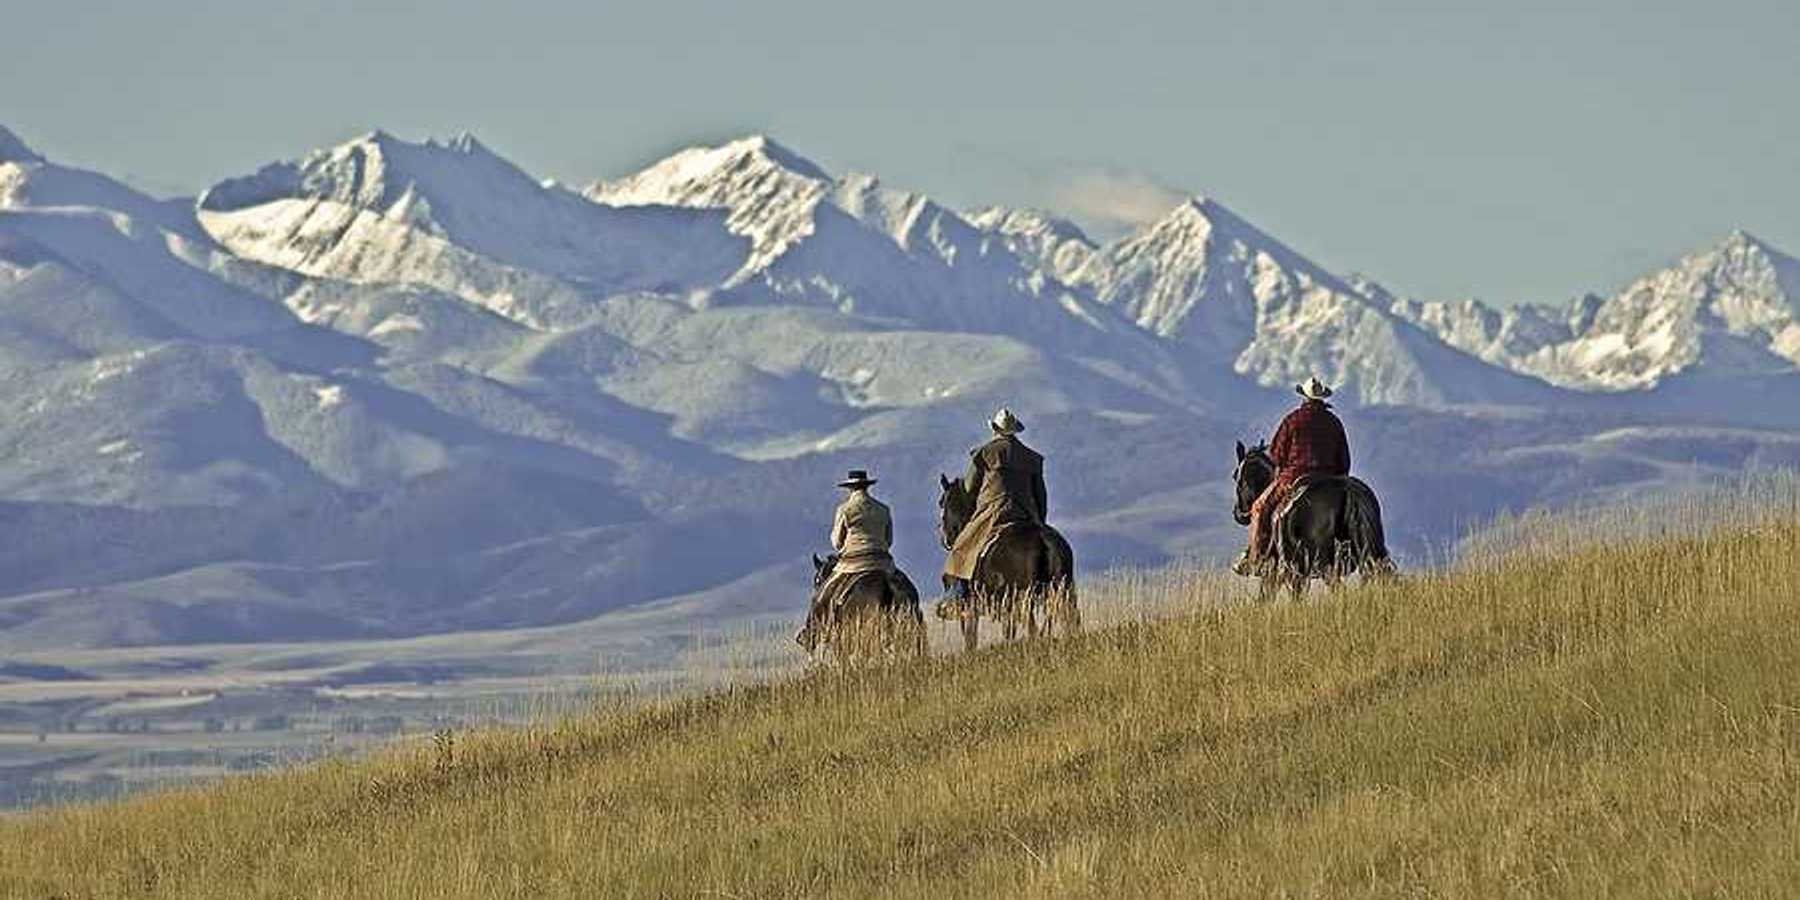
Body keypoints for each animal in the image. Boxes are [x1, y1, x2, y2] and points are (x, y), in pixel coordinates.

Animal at [934, 474, 1079, 651]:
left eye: (942, 502)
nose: (945, 539)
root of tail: (1043, 538)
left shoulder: (971, 607)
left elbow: (971, 639)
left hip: (1023, 599)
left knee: (1033, 629)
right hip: (1061, 591)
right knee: (1068, 623)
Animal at [1233, 440, 1395, 600]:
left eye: (1236, 476)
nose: (1238, 513)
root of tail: (1347, 490)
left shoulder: (1280, 571)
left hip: (1322, 566)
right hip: (1372, 556)